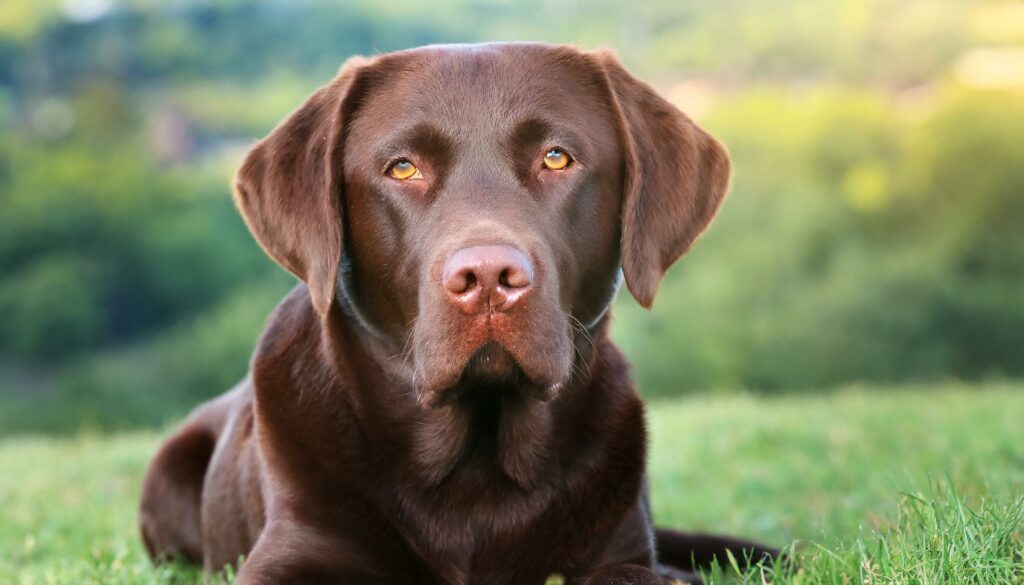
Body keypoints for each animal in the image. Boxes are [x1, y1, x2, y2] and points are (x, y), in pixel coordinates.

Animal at [140, 43, 778, 581]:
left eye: (557, 158)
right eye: (402, 167)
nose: (489, 279)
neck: (474, 475)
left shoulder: (622, 553)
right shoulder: (291, 554)